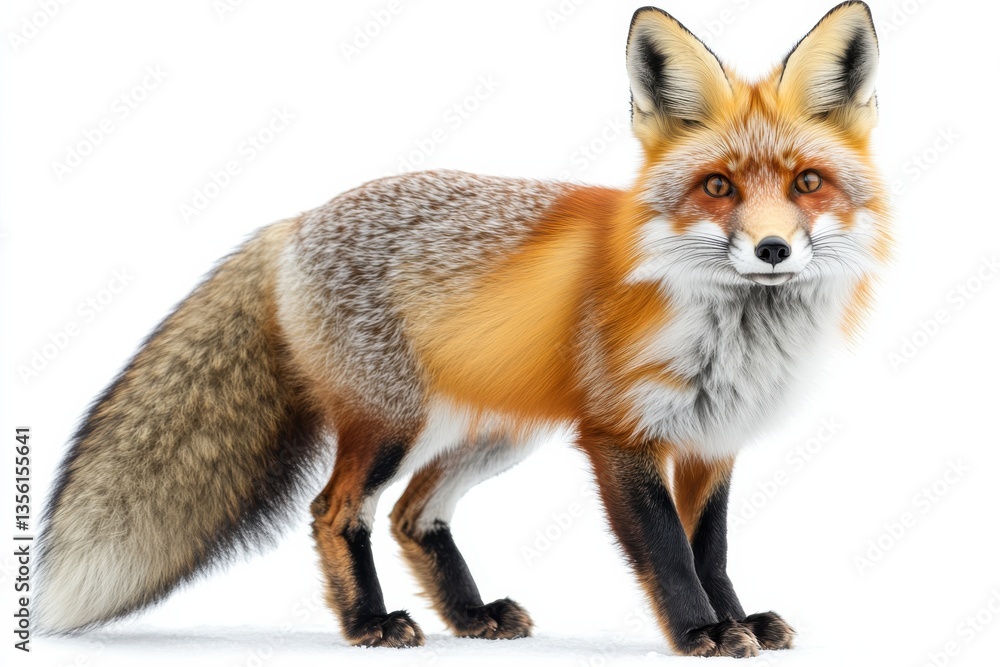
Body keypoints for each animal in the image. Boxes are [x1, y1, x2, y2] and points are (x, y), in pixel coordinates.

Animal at [36, 2, 890, 658]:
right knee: (335, 511)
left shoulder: (715, 439)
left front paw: (738, 619)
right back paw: (370, 622)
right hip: (392, 421)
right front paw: (700, 633)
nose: (772, 249)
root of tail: (295, 222)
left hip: (499, 433)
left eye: (807, 183)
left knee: (414, 513)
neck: (732, 333)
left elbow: (710, 550)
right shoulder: (620, 436)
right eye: (718, 187)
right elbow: (670, 553)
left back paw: (470, 615)